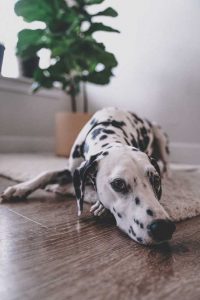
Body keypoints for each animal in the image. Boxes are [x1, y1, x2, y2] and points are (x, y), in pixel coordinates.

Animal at [0, 106, 175, 245]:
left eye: (155, 180)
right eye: (118, 184)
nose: (163, 227)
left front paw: (100, 206)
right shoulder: (72, 170)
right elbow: (46, 173)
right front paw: (19, 188)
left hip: (160, 136)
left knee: (167, 164)